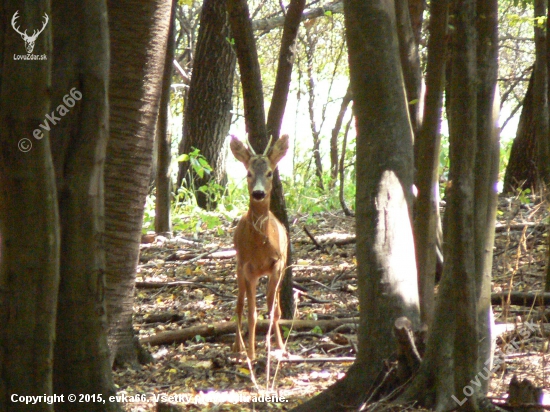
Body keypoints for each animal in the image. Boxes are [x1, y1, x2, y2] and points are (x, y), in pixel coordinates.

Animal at [231, 134, 292, 358]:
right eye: (248, 173)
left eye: (269, 173)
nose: (258, 193)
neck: (261, 247)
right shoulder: (248, 267)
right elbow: (252, 314)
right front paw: (251, 354)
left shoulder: (279, 263)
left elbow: (274, 310)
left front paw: (281, 348)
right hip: (239, 267)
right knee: (239, 305)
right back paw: (238, 346)